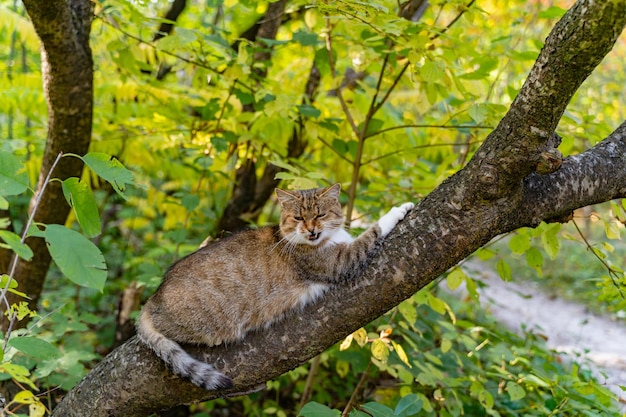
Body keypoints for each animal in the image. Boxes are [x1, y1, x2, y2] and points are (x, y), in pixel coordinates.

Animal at [134, 183, 412, 390]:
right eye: (299, 217)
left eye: (319, 214)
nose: (311, 230)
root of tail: (154, 297)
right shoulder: (340, 261)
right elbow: (372, 231)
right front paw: (398, 209)